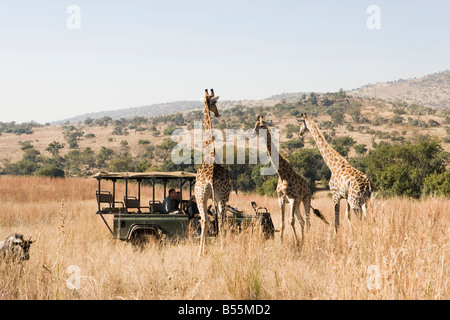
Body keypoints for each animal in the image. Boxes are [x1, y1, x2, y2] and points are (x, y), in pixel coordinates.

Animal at [253, 117, 326, 245]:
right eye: (255, 124)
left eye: (261, 125)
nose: (253, 133)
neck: (282, 174)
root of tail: (308, 186)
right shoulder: (281, 199)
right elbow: (282, 223)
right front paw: (282, 242)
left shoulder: (292, 199)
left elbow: (291, 221)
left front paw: (296, 242)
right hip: (297, 203)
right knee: (302, 221)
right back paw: (303, 239)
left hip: (306, 199)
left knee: (307, 221)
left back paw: (306, 240)